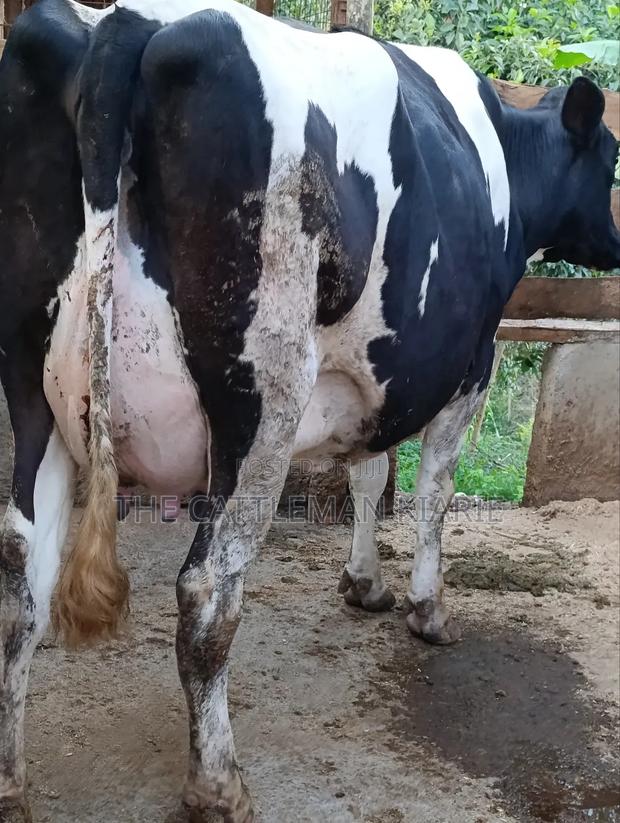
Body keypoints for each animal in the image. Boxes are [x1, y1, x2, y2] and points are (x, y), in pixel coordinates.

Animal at [0, 0, 618, 820]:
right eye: (612, 158)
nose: (616, 241)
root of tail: (127, 23)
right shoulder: (469, 364)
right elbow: (432, 490)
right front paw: (427, 608)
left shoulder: (377, 372)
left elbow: (368, 472)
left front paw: (363, 583)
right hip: (263, 403)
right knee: (207, 590)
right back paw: (219, 783)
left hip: (31, 388)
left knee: (22, 578)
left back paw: (11, 780)